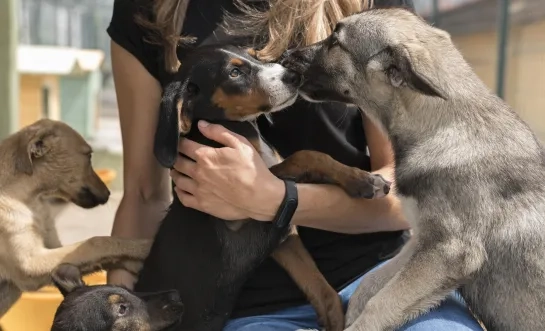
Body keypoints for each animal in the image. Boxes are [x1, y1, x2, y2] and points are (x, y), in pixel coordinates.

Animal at [0, 120, 151, 320]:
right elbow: (96, 242)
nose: (108, 194)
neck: (30, 199)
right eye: (89, 155)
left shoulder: (53, 250)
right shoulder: (30, 264)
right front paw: (144, 246)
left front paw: (136, 261)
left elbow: (103, 256)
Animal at [282, 6, 544, 331]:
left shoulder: (446, 251)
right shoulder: (419, 241)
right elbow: (369, 287)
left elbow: (381, 303)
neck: (442, 125)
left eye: (335, 42)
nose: (285, 56)